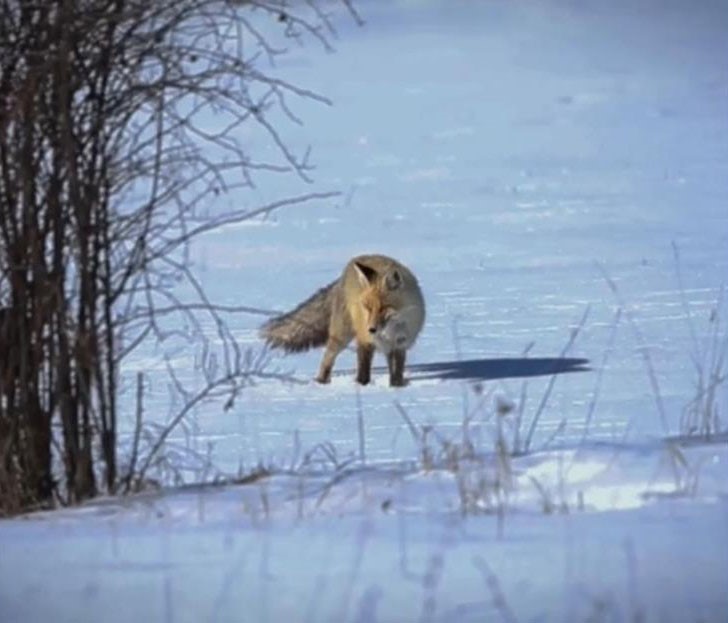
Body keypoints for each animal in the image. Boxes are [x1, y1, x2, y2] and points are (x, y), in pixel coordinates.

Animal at [260, 254, 426, 386]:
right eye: (367, 307)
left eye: (383, 307)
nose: (372, 329)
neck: (390, 330)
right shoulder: (364, 340)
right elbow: (363, 368)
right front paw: (362, 386)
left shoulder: (399, 344)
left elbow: (397, 372)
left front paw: (396, 388)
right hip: (341, 335)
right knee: (327, 357)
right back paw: (321, 381)